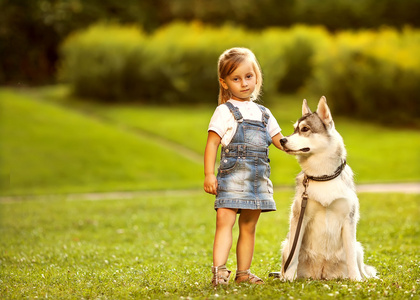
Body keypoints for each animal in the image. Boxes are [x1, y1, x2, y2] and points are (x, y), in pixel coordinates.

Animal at [276, 96, 378, 282]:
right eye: (294, 130)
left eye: (305, 129)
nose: (282, 140)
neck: (322, 176)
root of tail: (321, 274)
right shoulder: (299, 218)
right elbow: (292, 257)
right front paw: (288, 279)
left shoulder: (348, 220)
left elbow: (351, 257)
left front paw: (356, 280)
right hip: (287, 245)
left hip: (359, 247)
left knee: (361, 265)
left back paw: (366, 278)